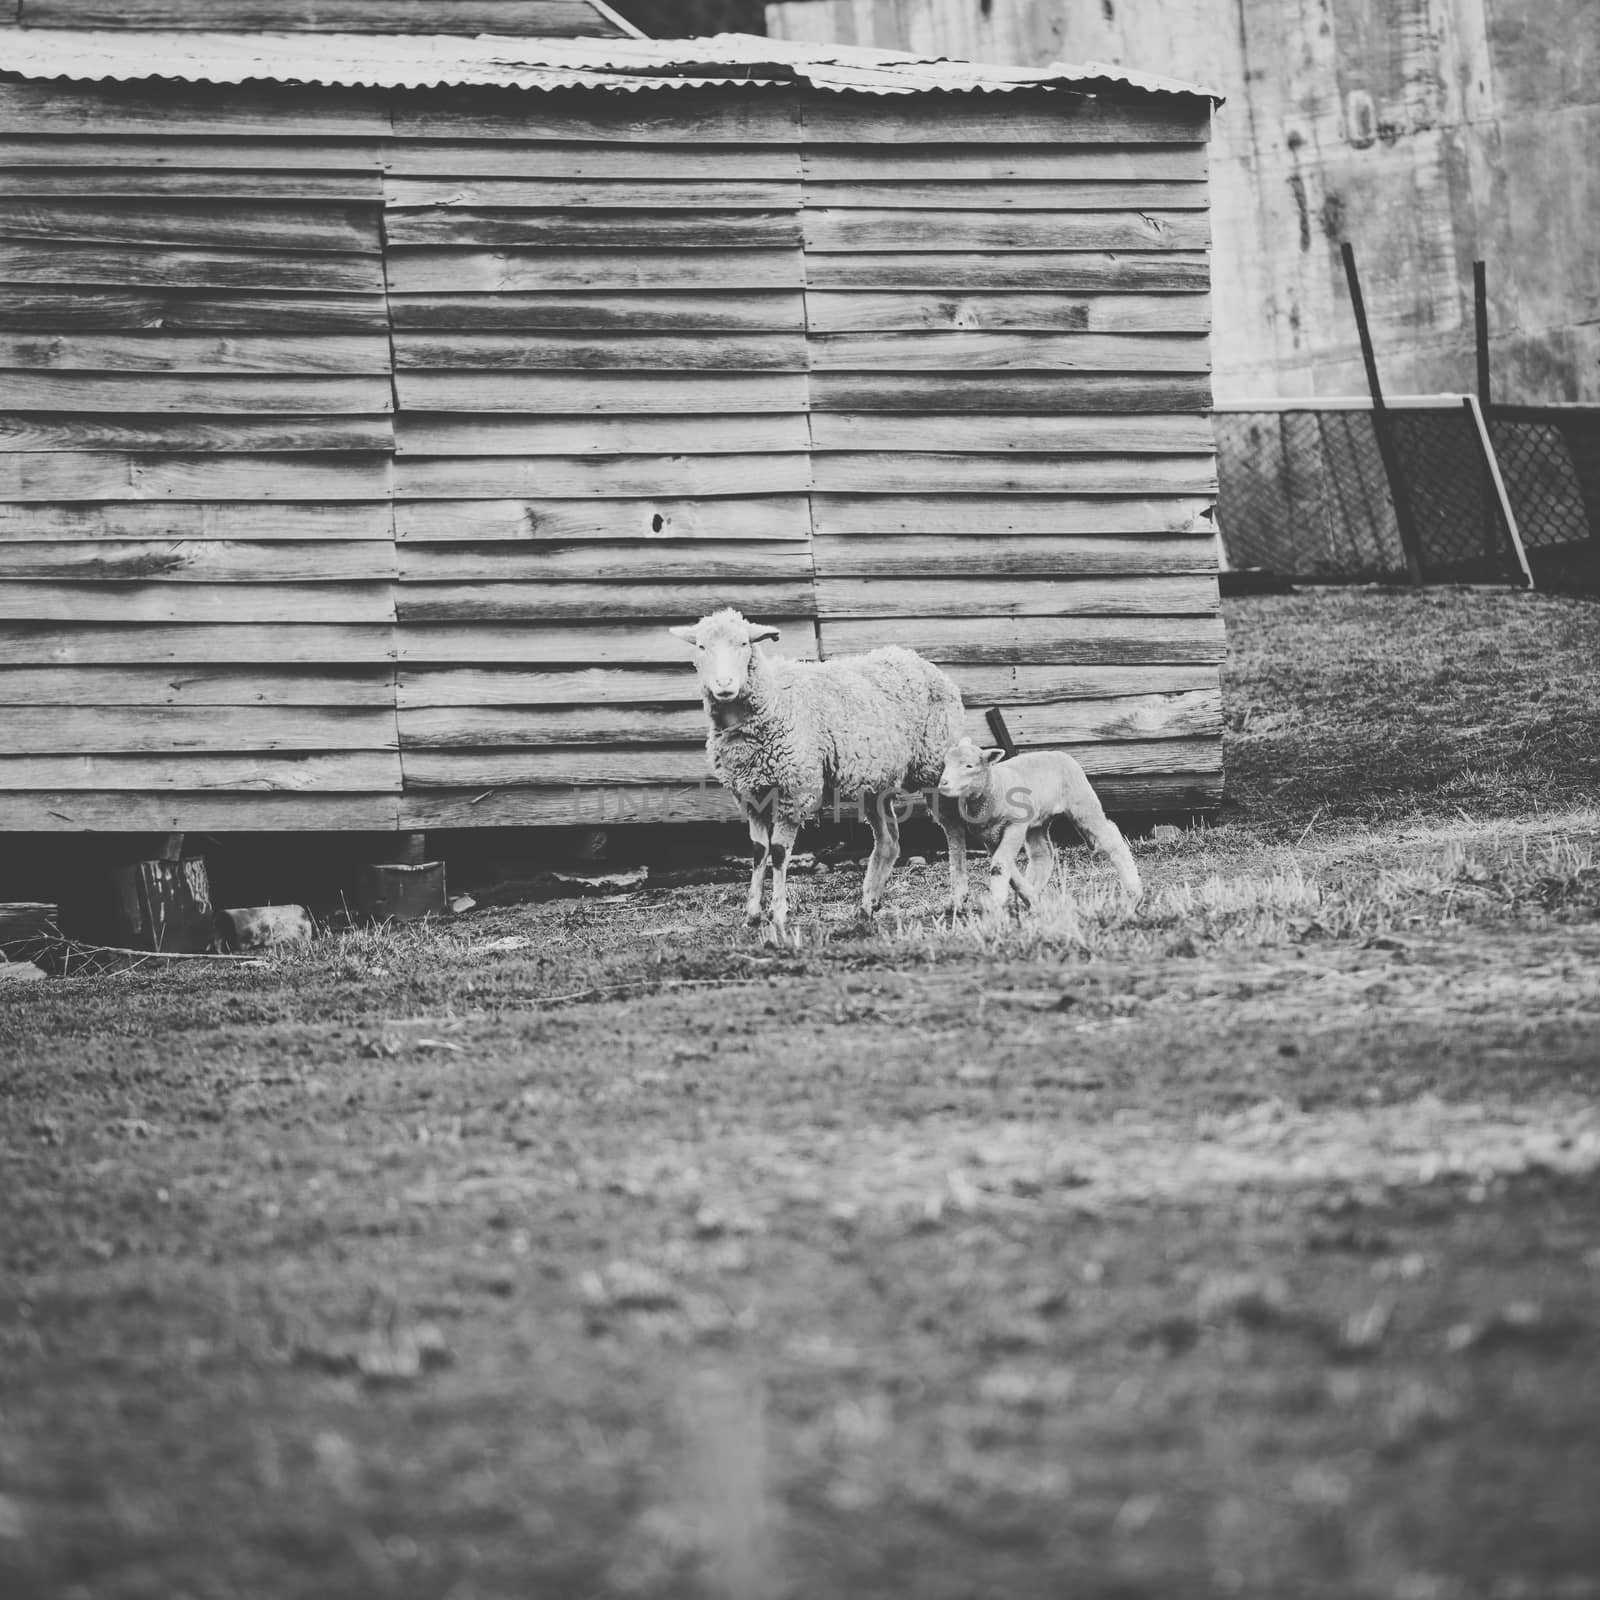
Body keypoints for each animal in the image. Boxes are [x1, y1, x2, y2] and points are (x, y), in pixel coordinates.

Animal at [672, 604, 966, 940]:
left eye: (744, 644)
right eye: (701, 647)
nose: (724, 685)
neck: (773, 697)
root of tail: (918, 659)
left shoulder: (793, 790)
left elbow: (778, 853)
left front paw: (779, 914)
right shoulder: (751, 795)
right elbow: (759, 852)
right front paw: (752, 914)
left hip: (937, 765)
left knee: (954, 828)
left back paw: (957, 899)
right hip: (874, 782)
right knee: (889, 841)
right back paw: (867, 906)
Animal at [934, 736, 1145, 915]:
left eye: (969, 765)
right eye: (946, 763)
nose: (943, 783)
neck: (995, 786)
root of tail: (1058, 753)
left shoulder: (1015, 825)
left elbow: (1000, 866)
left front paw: (996, 903)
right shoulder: (990, 836)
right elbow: (1007, 867)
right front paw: (1030, 899)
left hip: (1082, 802)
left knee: (1110, 836)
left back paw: (1134, 890)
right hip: (1038, 822)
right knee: (1042, 855)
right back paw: (1034, 894)